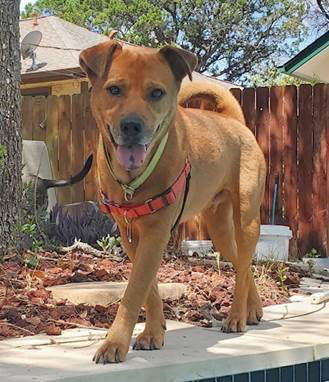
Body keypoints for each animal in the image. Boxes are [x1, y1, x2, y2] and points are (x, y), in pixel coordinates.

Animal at [80, 39, 266, 364]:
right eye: (114, 89)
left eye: (156, 93)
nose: (131, 125)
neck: (133, 180)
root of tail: (232, 120)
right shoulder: (133, 236)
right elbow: (149, 288)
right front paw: (154, 332)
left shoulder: (156, 233)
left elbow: (133, 292)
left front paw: (115, 343)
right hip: (220, 230)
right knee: (242, 265)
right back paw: (252, 309)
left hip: (246, 220)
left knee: (244, 264)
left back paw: (236, 317)